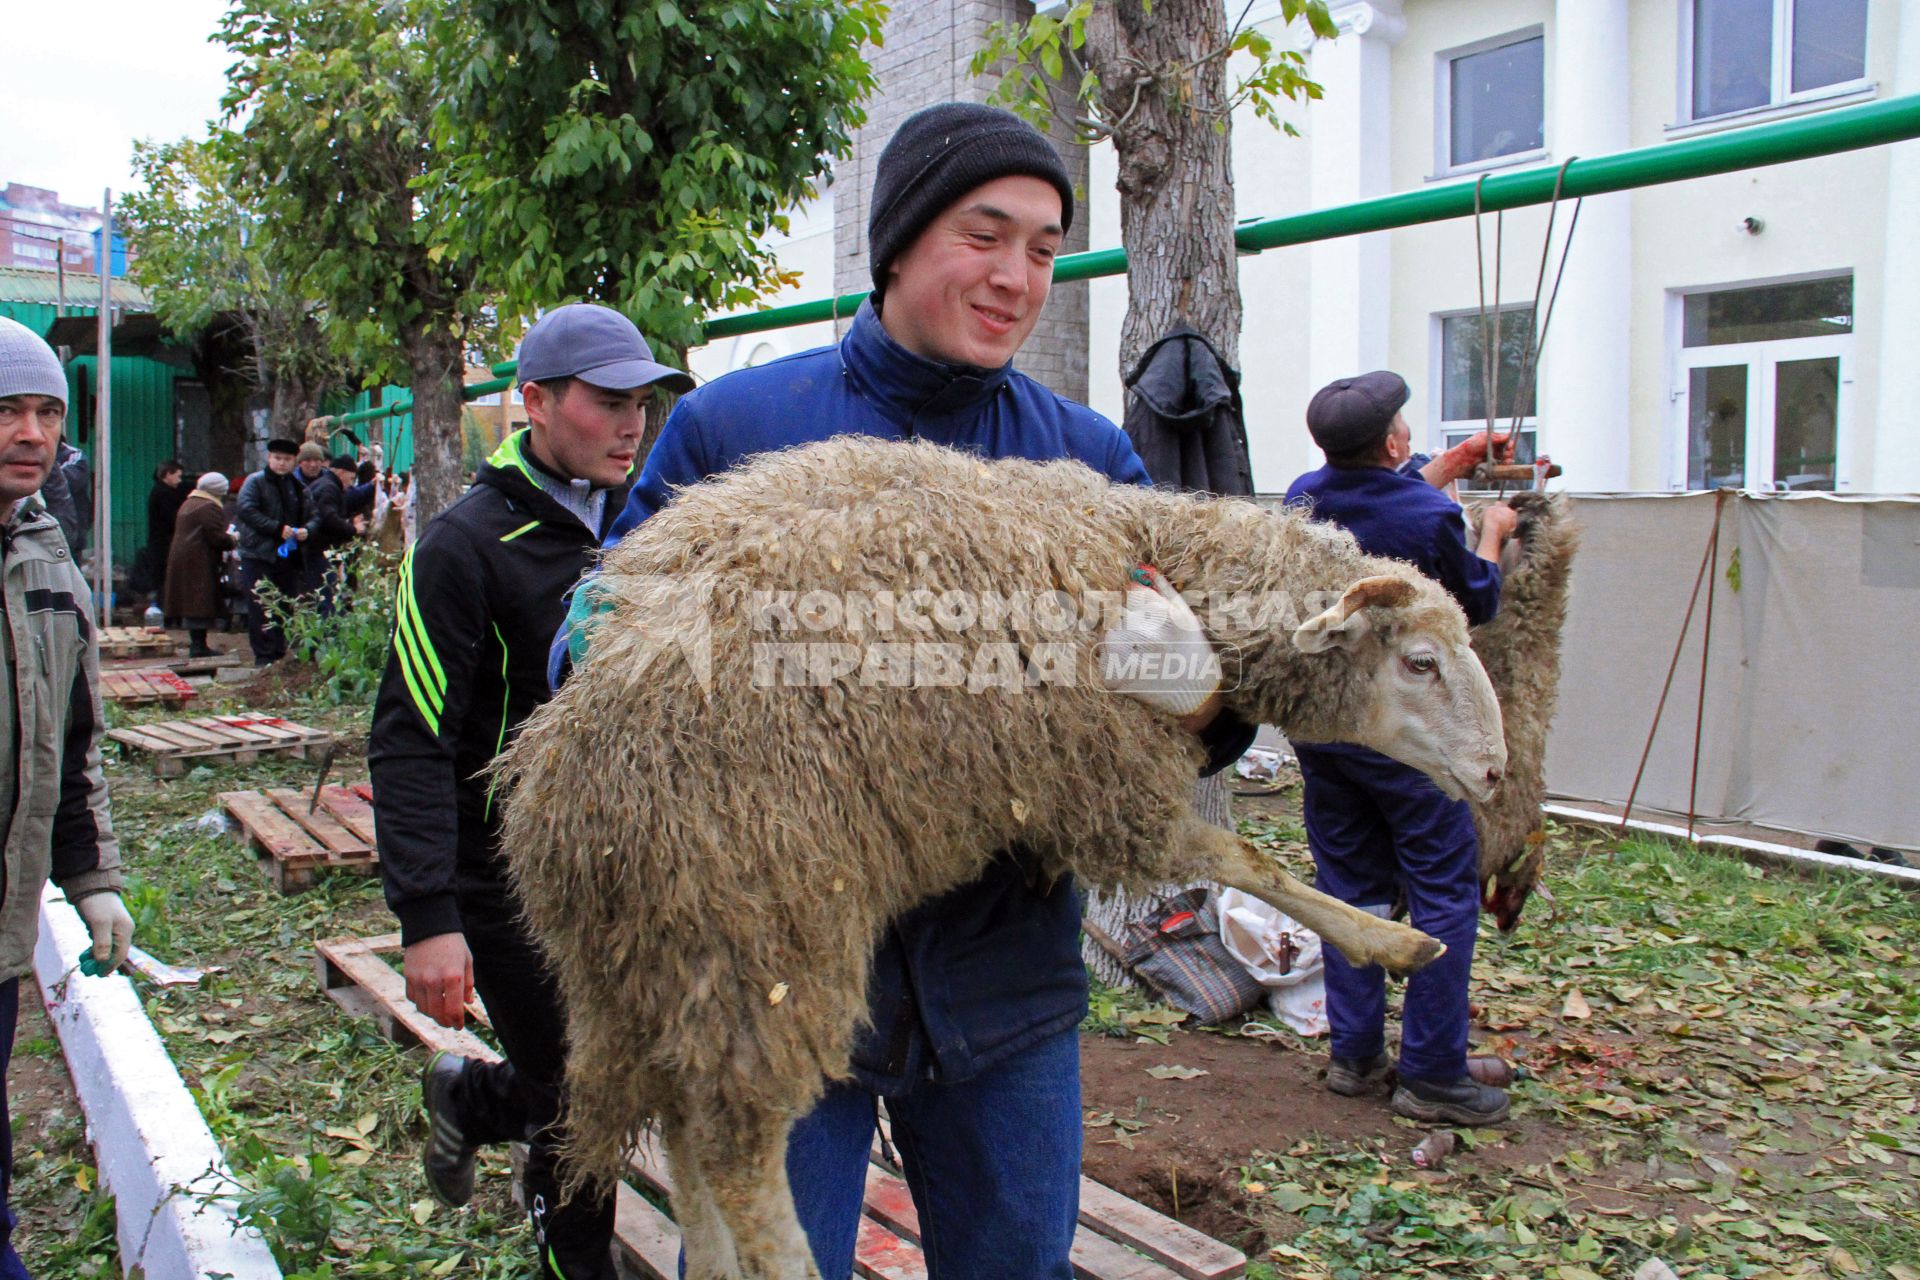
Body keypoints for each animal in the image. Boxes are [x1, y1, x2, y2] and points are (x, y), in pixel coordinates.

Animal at [499, 435, 1512, 1274]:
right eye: (1420, 662)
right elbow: (1242, 860)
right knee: (739, 1154)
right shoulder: (1102, 779)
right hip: (765, 936)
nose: (1498, 771)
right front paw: (1395, 942)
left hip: (656, 974)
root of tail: (562, 817)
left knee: (681, 1129)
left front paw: (1392, 941)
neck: (1149, 546)